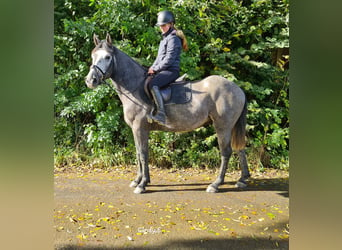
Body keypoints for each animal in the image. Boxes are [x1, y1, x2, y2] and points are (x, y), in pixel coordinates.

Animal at [85, 33, 251, 193]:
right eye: (93, 56)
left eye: (107, 57)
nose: (90, 80)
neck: (134, 87)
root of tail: (238, 89)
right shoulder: (136, 129)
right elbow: (139, 153)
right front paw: (139, 180)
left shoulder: (139, 128)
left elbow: (143, 154)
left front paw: (142, 185)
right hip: (231, 126)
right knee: (240, 149)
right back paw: (242, 179)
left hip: (223, 127)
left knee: (226, 152)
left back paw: (216, 184)